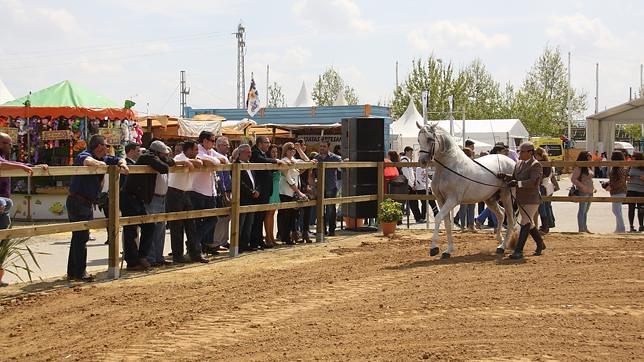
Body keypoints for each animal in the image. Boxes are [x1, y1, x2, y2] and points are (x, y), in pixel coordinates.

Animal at [418, 123, 520, 258]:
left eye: (430, 139)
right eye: (419, 140)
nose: (422, 162)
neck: (449, 167)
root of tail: (511, 162)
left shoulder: (452, 200)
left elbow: (439, 217)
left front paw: (434, 248)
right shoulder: (440, 200)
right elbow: (447, 223)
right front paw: (448, 251)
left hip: (506, 196)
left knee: (511, 219)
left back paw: (502, 247)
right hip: (490, 199)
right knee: (501, 214)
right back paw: (500, 240)